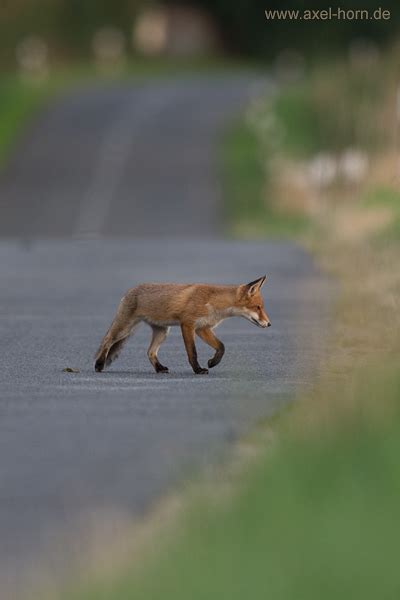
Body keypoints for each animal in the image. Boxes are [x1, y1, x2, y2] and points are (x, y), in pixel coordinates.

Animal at [95, 276, 270, 376]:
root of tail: (130, 290)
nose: (269, 324)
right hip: (125, 329)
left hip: (162, 331)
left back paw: (159, 368)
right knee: (107, 341)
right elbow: (192, 352)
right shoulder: (188, 324)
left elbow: (221, 346)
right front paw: (198, 370)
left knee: (150, 352)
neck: (214, 303)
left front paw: (213, 362)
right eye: (258, 307)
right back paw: (99, 364)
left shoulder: (203, 328)